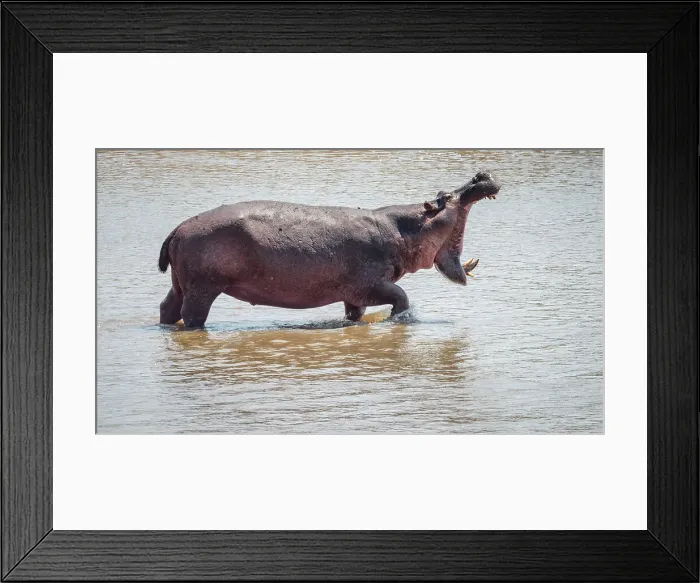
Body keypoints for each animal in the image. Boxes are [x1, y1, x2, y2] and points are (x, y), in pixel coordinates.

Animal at [158, 171, 501, 328]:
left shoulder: (354, 294)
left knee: (167, 308)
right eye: (445, 197)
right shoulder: (370, 284)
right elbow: (402, 297)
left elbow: (355, 315)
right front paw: (398, 319)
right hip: (203, 287)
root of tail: (177, 229)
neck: (406, 229)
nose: (480, 176)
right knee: (192, 316)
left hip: (182, 284)